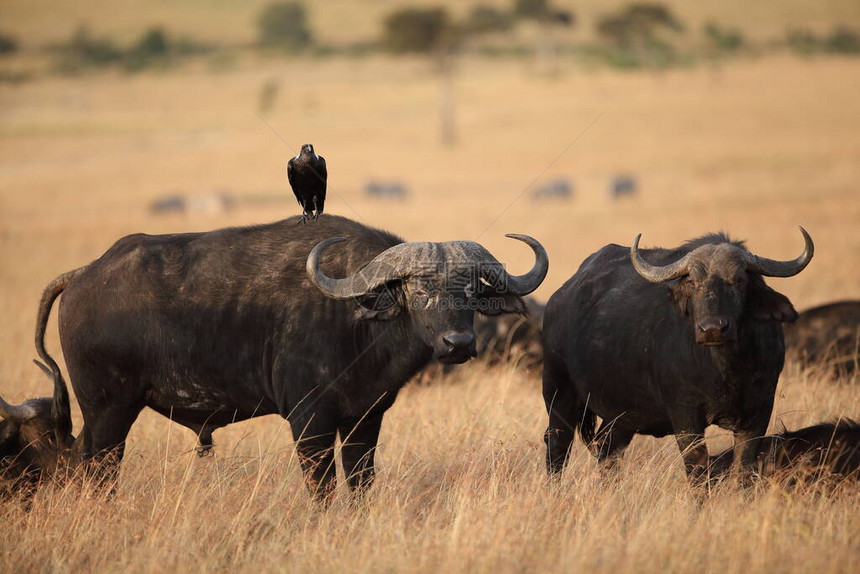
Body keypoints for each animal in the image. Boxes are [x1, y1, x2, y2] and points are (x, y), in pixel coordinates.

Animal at [0, 214, 548, 502]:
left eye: (470, 289)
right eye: (419, 289)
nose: (458, 344)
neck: (354, 321)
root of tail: (85, 273)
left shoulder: (366, 418)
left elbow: (361, 481)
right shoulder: (309, 421)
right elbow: (322, 487)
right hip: (108, 411)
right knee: (95, 469)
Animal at [540, 230, 816, 482]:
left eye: (739, 280)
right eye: (693, 281)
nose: (712, 328)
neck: (725, 370)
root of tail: (559, 298)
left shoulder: (758, 413)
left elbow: (742, 471)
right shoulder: (685, 416)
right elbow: (697, 471)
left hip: (620, 416)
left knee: (608, 453)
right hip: (559, 393)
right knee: (558, 446)